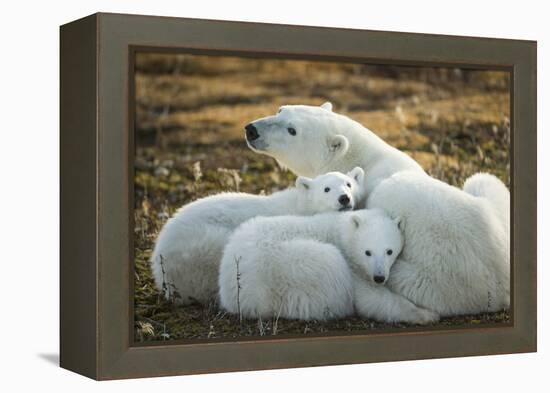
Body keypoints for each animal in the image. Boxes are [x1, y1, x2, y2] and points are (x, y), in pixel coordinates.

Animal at [246, 102, 512, 316]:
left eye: (292, 130)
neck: (363, 158)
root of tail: (500, 284)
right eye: (280, 110)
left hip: (439, 282)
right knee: (482, 180)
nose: (251, 129)